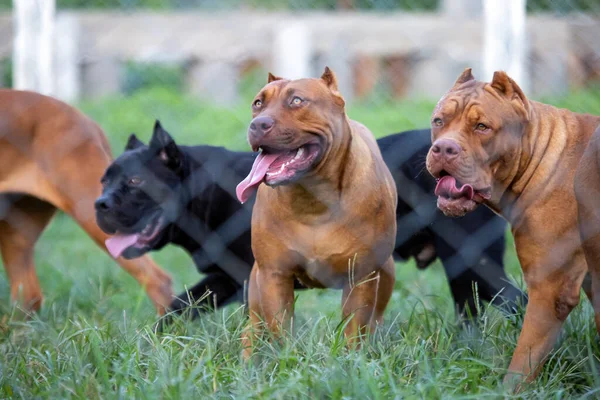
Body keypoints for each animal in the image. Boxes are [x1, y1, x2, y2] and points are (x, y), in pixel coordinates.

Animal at [96, 120, 524, 320]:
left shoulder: (246, 278)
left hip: (474, 264)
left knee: (518, 302)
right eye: (104, 179)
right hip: (464, 273)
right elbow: (178, 308)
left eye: (134, 182)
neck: (207, 193)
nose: (99, 204)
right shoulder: (230, 279)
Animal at [426, 69, 600, 388]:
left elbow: (523, 360)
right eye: (438, 121)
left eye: (482, 127)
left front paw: (505, 391)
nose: (444, 148)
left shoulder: (548, 288)